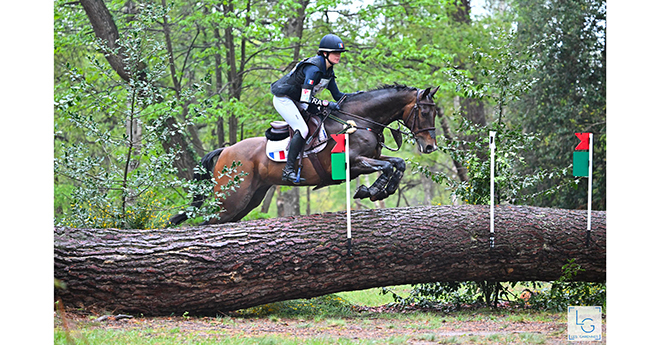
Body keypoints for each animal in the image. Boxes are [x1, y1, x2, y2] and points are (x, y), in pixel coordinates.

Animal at [170, 83, 438, 223]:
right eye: (424, 112)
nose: (430, 147)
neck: (360, 120)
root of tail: (225, 150)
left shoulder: (372, 157)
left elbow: (397, 163)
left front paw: (381, 190)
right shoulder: (351, 162)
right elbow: (387, 166)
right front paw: (369, 191)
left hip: (249, 198)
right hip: (231, 197)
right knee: (208, 220)